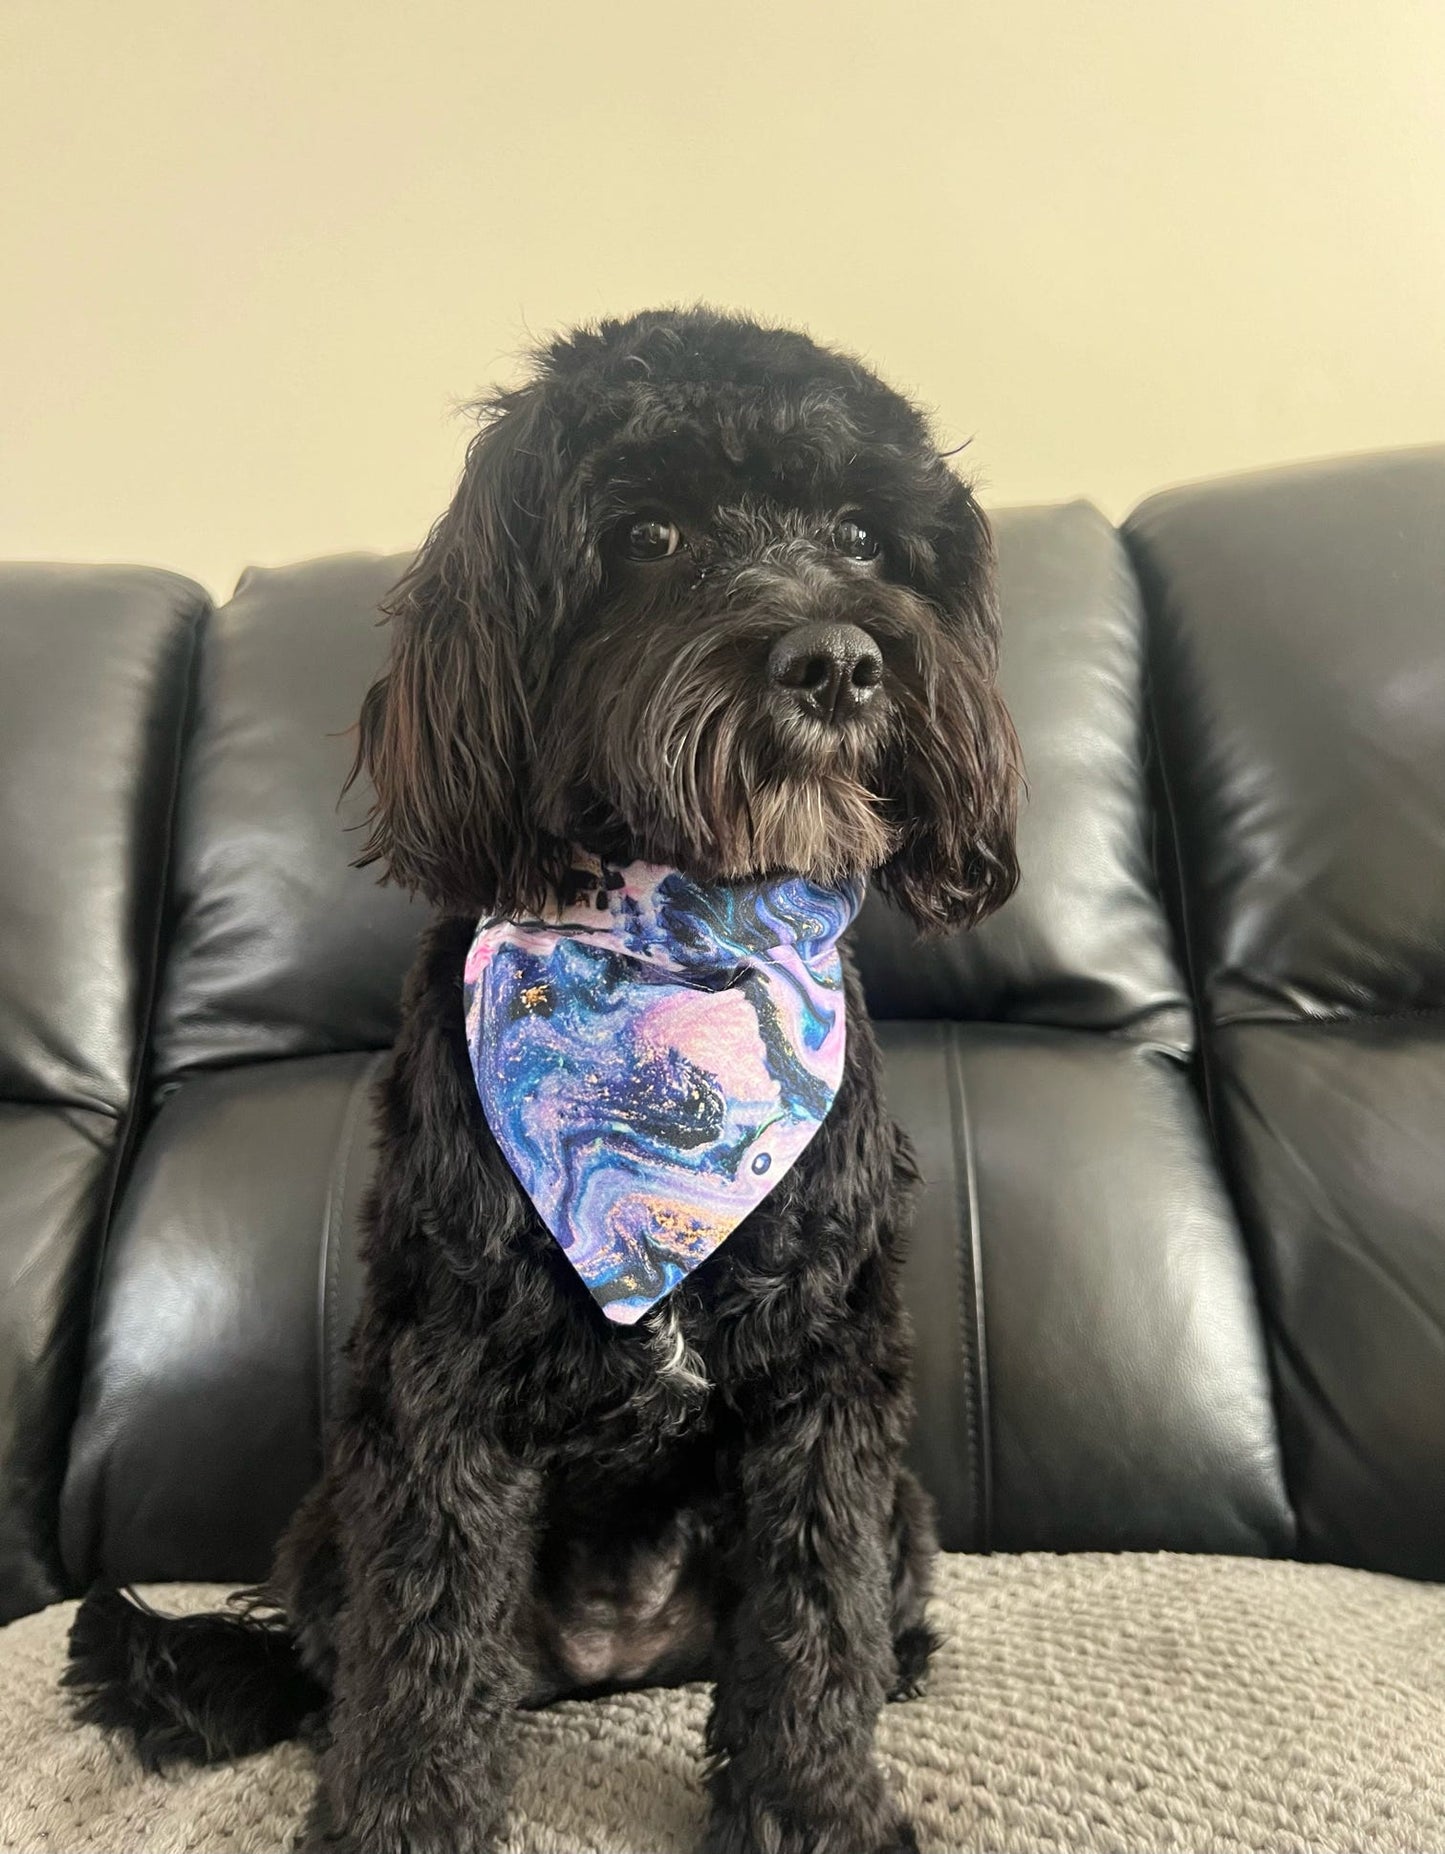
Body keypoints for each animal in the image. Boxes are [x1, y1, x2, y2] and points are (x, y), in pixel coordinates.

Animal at [64, 307, 1016, 1854]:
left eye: (867, 534)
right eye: (646, 533)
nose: (836, 661)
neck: (687, 944)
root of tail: (617, 1655)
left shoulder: (825, 1375)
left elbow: (814, 1615)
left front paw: (812, 1808)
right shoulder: (444, 1367)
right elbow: (427, 1622)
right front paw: (402, 1819)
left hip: (908, 1510)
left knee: (859, 1603)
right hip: (329, 1514)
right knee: (350, 1649)